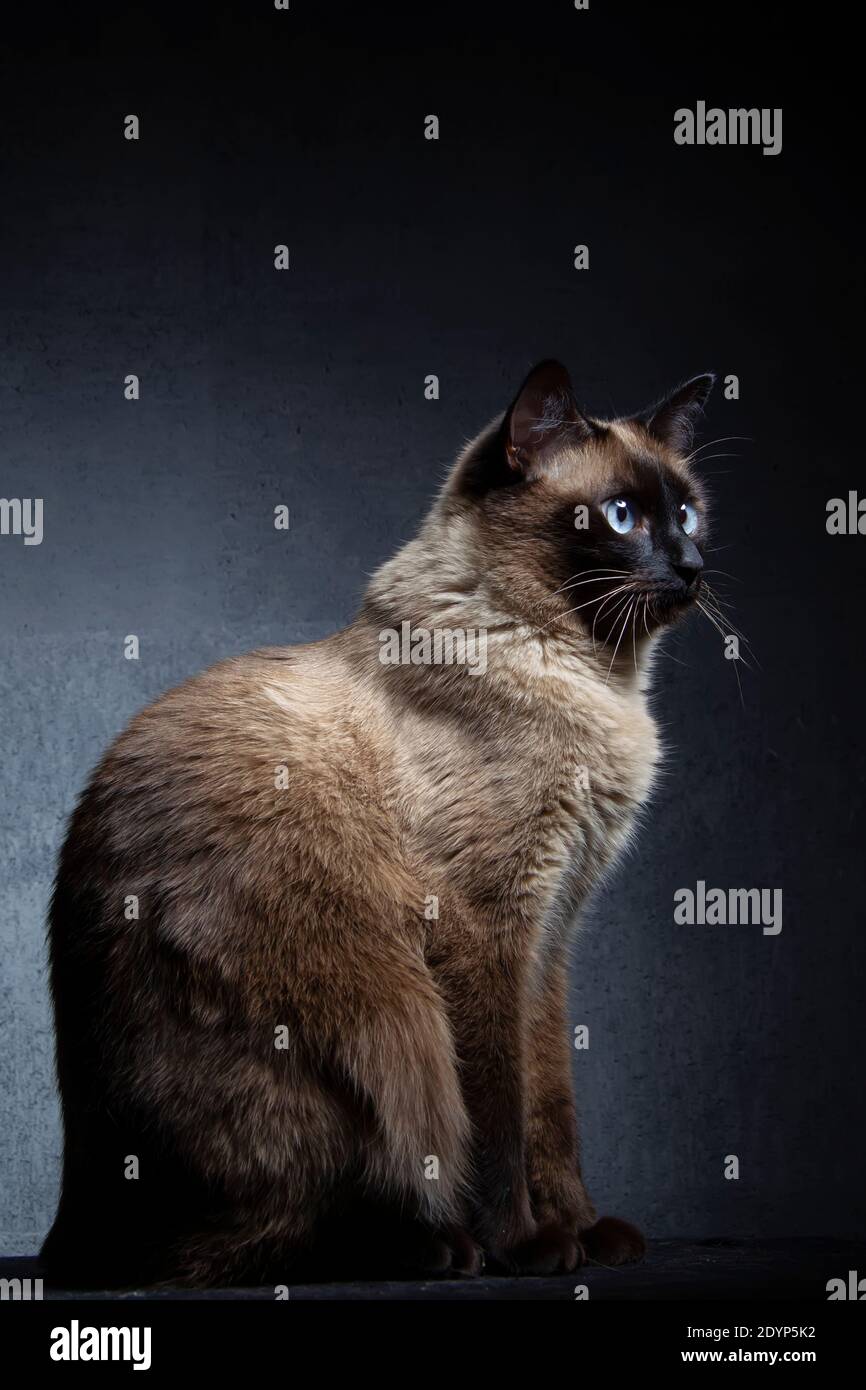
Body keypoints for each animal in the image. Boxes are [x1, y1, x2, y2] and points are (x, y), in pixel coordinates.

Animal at [40, 364, 717, 1284]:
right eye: (619, 517)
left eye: (687, 513)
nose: (692, 565)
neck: (595, 680)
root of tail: (71, 1223)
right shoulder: (484, 930)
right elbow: (496, 1117)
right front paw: (529, 1247)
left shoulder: (550, 937)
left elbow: (551, 1104)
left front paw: (584, 1231)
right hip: (391, 1021)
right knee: (255, 1239)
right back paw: (441, 1247)